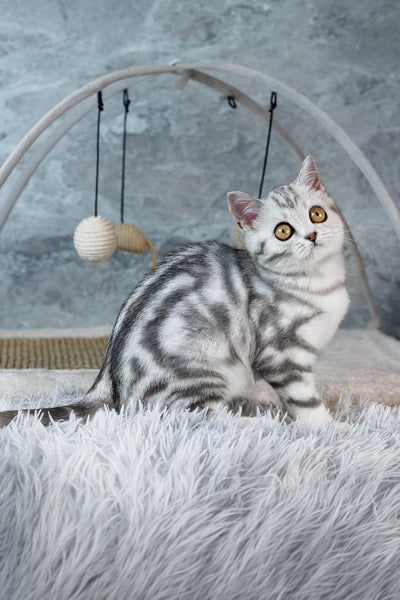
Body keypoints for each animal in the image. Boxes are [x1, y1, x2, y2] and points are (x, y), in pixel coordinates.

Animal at [0, 155, 349, 428]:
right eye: (283, 231)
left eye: (317, 214)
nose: (312, 235)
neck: (317, 282)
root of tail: (109, 382)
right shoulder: (281, 352)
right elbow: (305, 399)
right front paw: (328, 428)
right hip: (203, 366)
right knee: (193, 416)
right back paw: (258, 424)